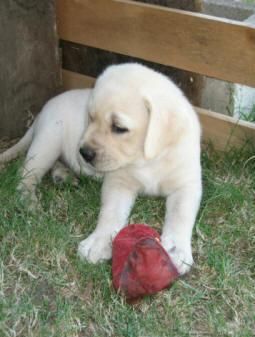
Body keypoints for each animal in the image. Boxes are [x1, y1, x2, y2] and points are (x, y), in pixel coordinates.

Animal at [78, 62, 202, 272]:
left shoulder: (187, 184)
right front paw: (98, 242)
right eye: (91, 117)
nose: (84, 153)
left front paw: (176, 250)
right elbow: (110, 212)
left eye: (119, 128)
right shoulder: (118, 181)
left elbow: (180, 214)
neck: (147, 159)